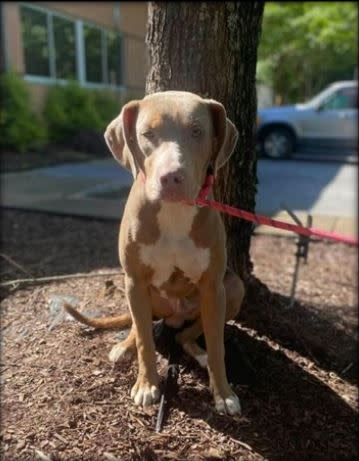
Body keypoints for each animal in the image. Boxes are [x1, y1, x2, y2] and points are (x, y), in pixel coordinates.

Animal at [64, 90, 246, 414]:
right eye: (147, 133)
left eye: (197, 131)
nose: (172, 177)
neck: (173, 213)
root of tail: (173, 317)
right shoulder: (134, 280)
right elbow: (144, 342)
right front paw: (147, 385)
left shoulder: (213, 287)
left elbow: (217, 345)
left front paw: (223, 393)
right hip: (142, 294)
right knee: (140, 328)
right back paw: (124, 347)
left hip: (233, 288)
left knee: (187, 334)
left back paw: (196, 351)